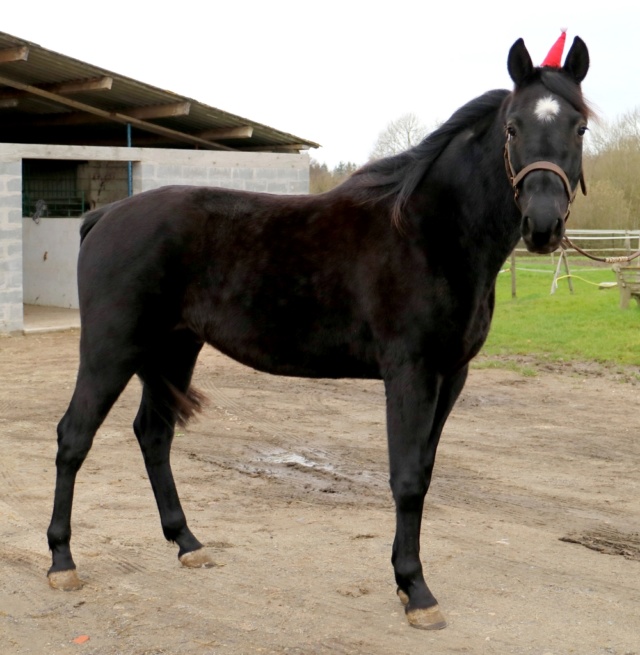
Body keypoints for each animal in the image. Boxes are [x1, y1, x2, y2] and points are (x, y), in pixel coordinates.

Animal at [48, 37, 592, 632]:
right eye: (513, 127)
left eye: (579, 128)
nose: (543, 225)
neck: (429, 234)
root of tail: (104, 216)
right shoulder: (410, 373)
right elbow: (406, 478)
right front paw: (416, 590)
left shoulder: (452, 376)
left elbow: (424, 472)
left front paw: (405, 580)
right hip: (110, 350)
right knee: (74, 437)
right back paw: (61, 561)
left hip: (175, 349)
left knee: (153, 435)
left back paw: (188, 543)